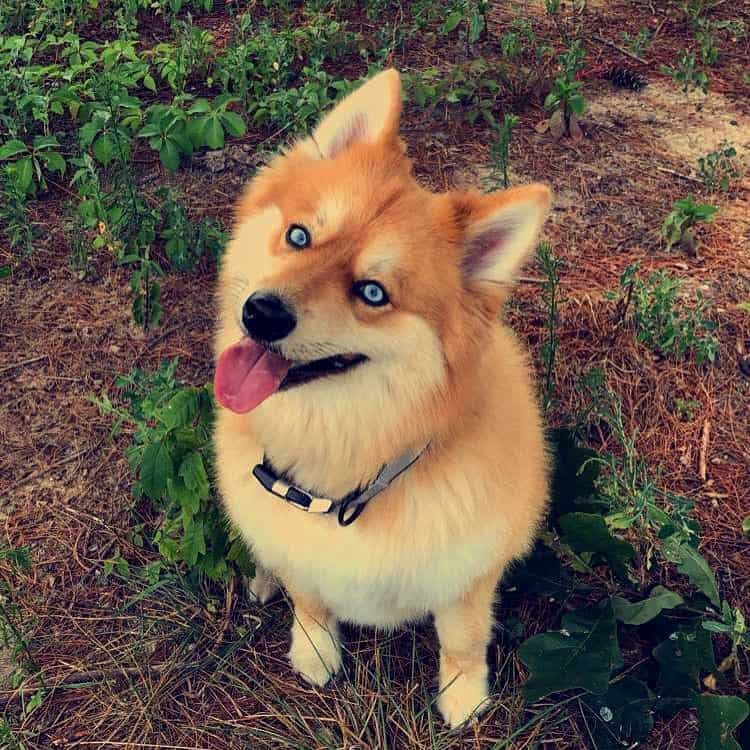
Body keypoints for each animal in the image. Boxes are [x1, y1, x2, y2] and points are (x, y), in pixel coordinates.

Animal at [212, 69, 552, 728]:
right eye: (299, 236)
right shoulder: (298, 543)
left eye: (372, 293)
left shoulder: (468, 572)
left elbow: (463, 637)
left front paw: (464, 697)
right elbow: (309, 597)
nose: (261, 313)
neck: (344, 474)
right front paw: (314, 650)